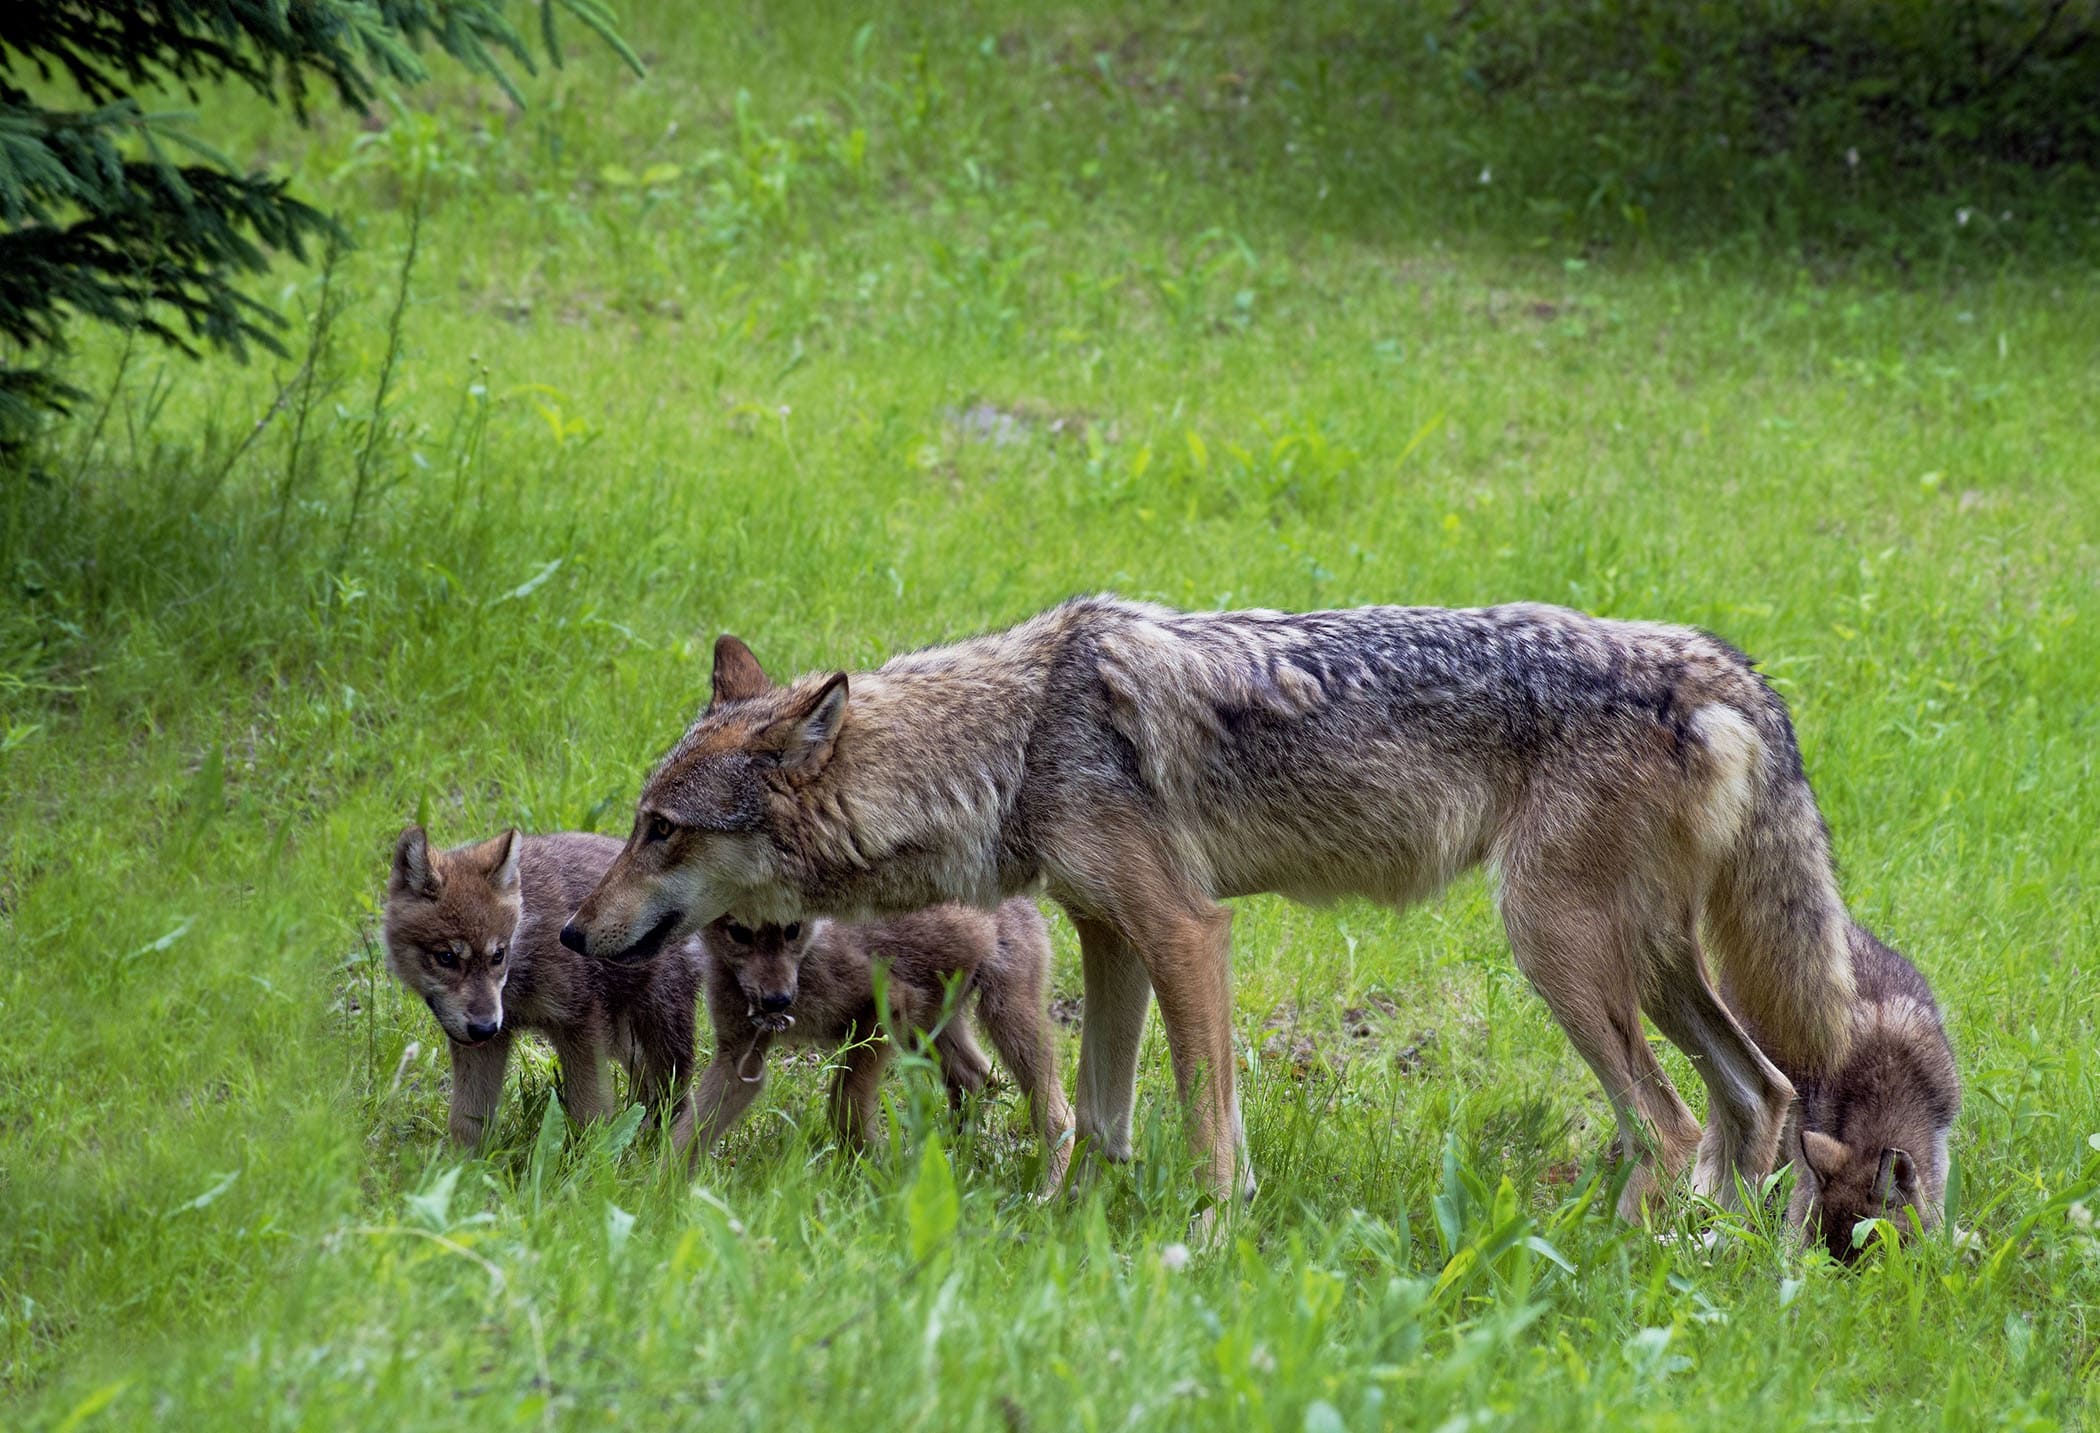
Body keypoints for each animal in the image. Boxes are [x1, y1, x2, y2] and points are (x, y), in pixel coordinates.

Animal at [558, 592, 1856, 1218]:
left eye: (660, 828)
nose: (571, 930)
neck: (1016, 743)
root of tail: (1715, 663)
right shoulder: (1110, 937)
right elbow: (1099, 1113)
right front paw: (1060, 1226)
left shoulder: (1187, 930)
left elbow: (1207, 1125)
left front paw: (1208, 1241)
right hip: (1656, 967)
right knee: (1761, 1094)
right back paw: (1709, 1257)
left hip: (1558, 951)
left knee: (1673, 1123)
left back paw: (1614, 1259)